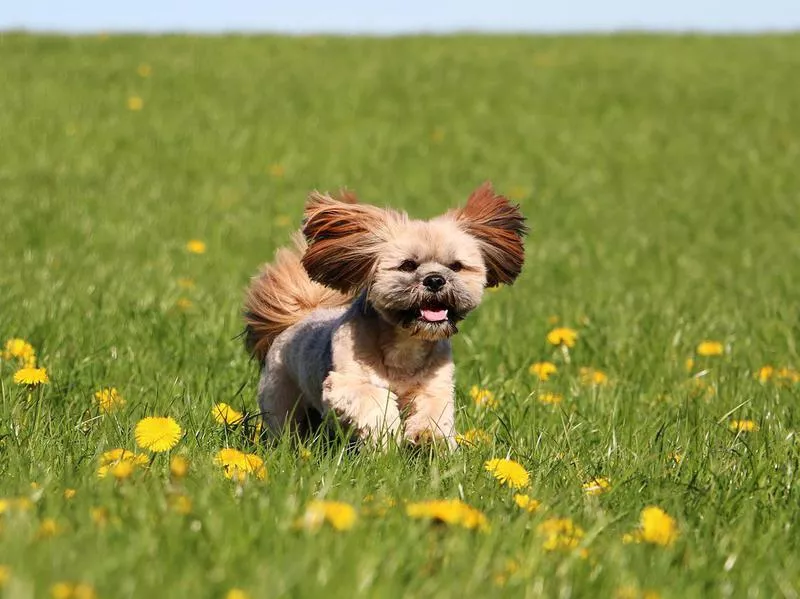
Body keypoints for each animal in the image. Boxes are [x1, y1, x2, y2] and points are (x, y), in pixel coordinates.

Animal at [247, 183, 528, 450]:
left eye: (456, 266)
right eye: (408, 265)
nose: (435, 279)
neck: (405, 346)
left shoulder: (435, 387)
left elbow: (434, 413)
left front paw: (430, 440)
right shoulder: (346, 383)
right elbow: (375, 401)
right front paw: (387, 435)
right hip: (281, 398)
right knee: (286, 426)